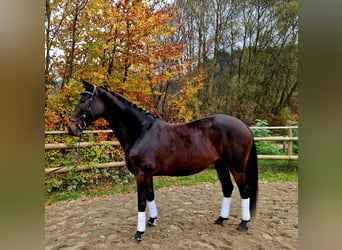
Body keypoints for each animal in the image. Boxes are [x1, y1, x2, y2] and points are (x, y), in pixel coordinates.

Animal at [68, 79, 258, 242]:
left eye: (84, 100)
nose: (71, 127)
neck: (141, 131)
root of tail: (244, 125)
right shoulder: (148, 174)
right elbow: (150, 196)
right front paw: (152, 221)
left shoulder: (142, 174)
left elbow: (141, 201)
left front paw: (139, 233)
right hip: (220, 165)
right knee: (227, 188)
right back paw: (220, 219)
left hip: (236, 167)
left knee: (244, 190)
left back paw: (243, 223)